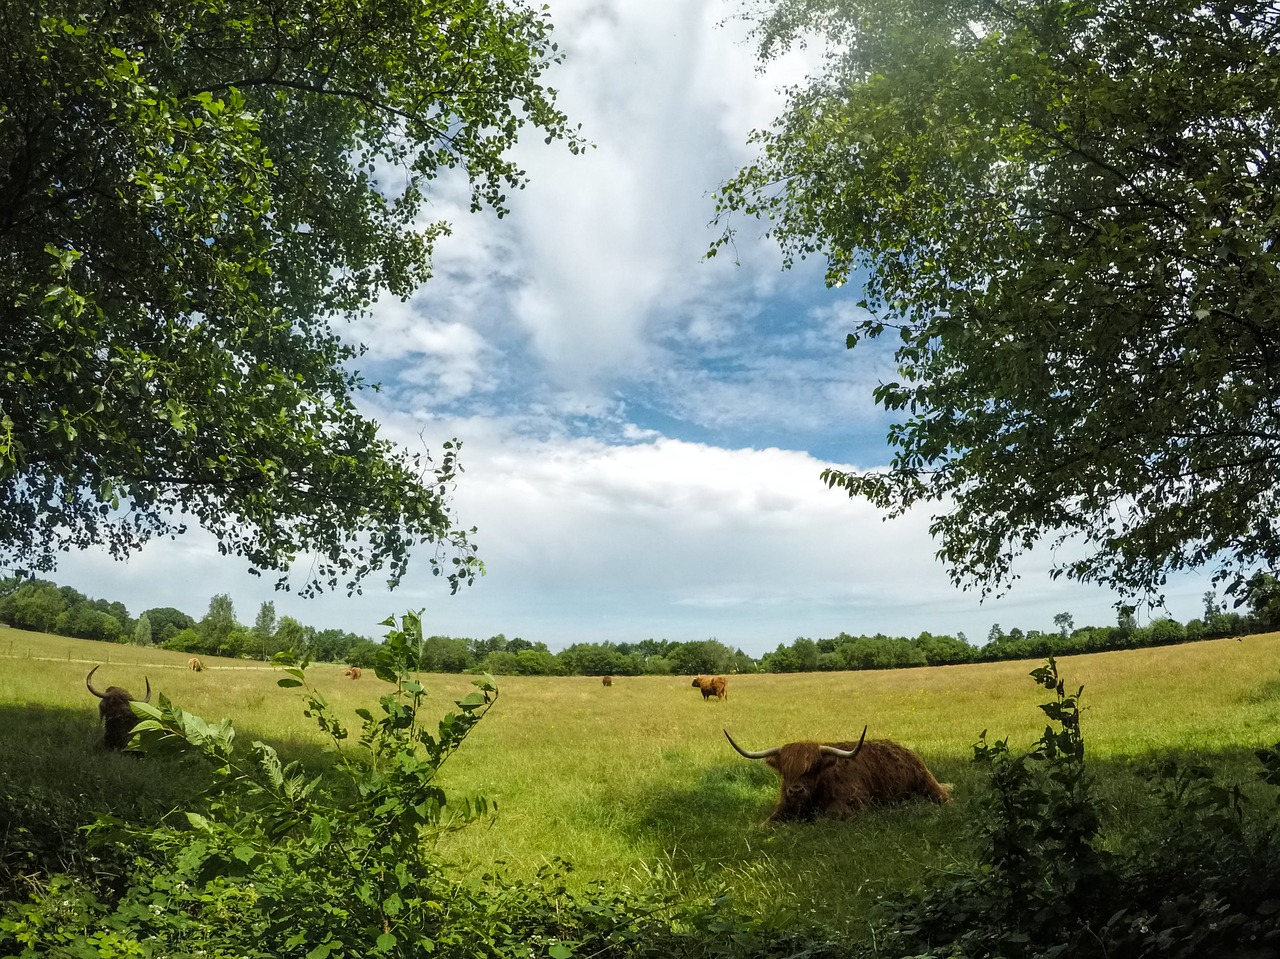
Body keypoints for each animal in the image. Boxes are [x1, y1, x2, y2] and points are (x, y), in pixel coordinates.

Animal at [727, 727, 947, 824]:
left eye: (813, 769)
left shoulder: (851, 804)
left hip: (930, 787)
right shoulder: (782, 806)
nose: (796, 790)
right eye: (785, 770)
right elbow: (766, 824)